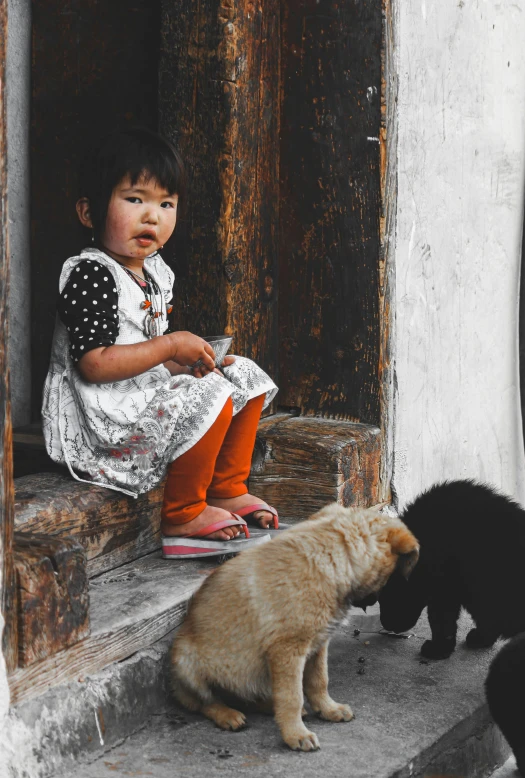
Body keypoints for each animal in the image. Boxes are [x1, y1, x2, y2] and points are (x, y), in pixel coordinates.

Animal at [170, 500, 420, 748]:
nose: (373, 604)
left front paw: (328, 709)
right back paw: (227, 714)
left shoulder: (318, 645)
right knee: (206, 702)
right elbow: (292, 696)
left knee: (246, 697)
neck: (331, 557)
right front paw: (295, 734)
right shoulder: (287, 650)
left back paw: (267, 705)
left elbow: (319, 680)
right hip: (185, 662)